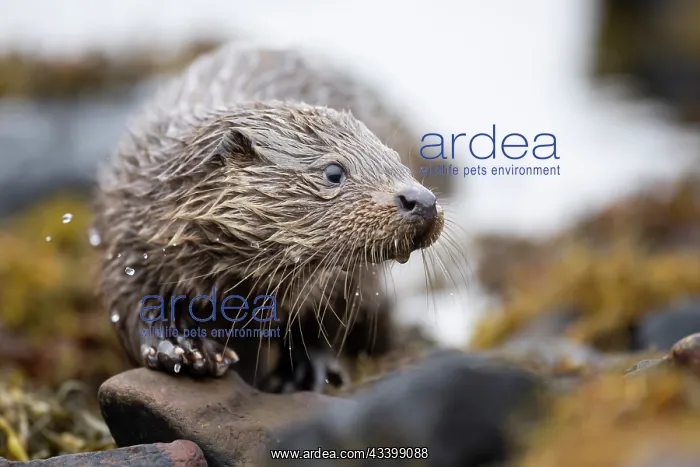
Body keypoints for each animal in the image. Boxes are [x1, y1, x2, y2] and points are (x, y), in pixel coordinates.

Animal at [95, 41, 445, 393]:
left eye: (396, 159)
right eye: (334, 172)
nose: (423, 201)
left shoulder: (346, 283)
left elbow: (326, 321)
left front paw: (306, 371)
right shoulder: (127, 237)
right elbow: (134, 305)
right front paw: (182, 347)